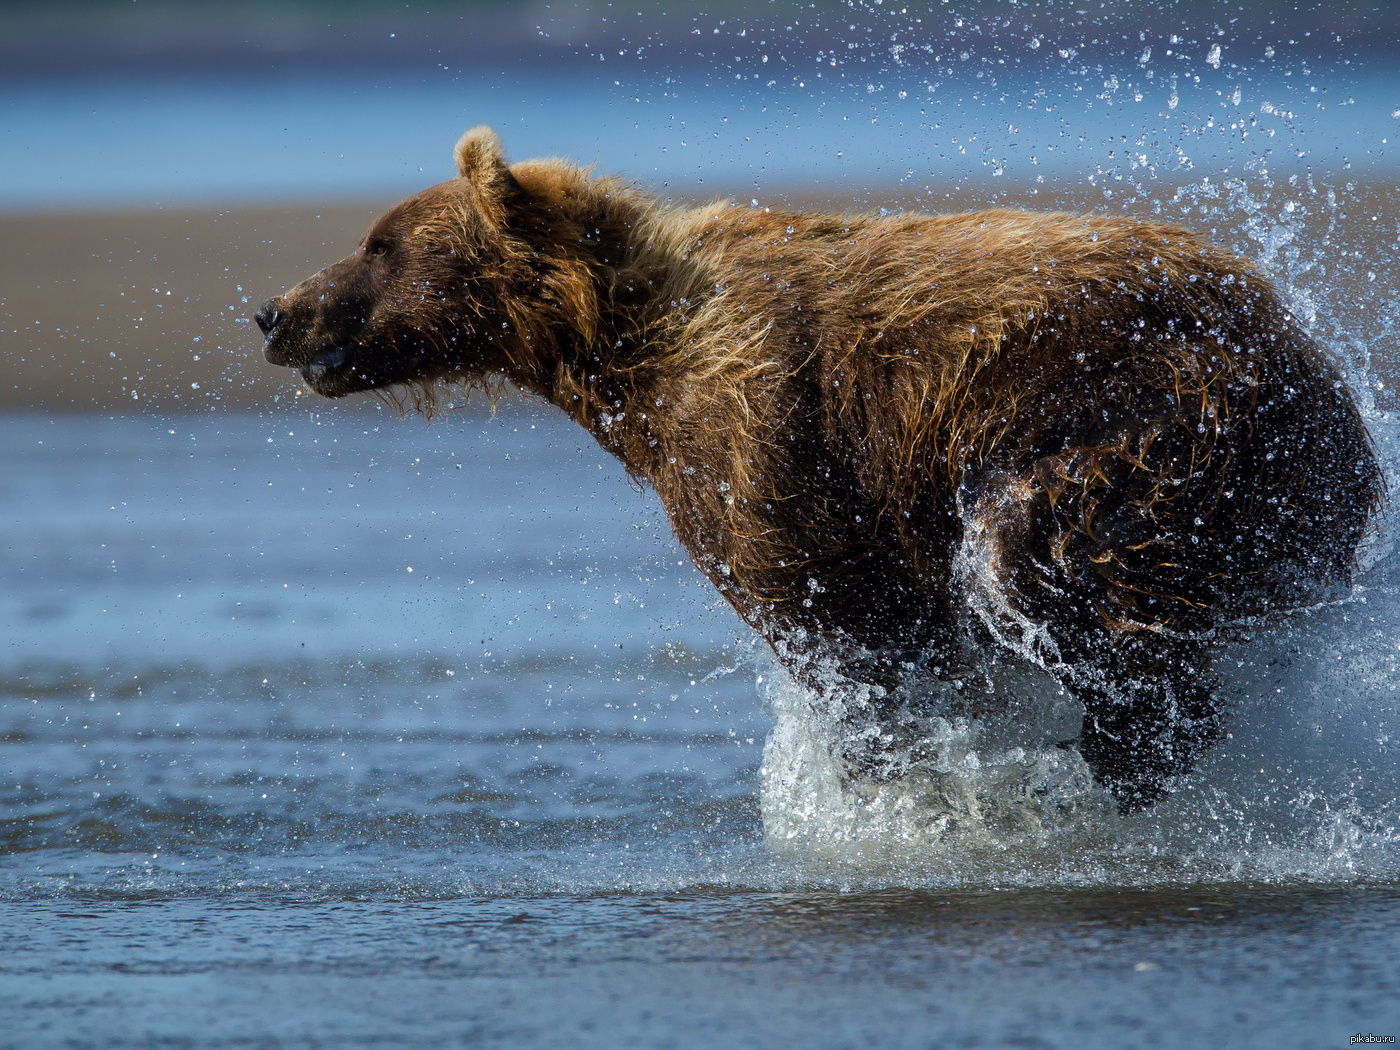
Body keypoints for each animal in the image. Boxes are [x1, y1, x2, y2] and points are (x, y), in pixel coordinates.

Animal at [257, 125, 1383, 812]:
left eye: (381, 243)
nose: (274, 309)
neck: (624, 353)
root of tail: (1311, 359)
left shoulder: (760, 441)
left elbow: (847, 632)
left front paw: (895, 785)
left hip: (1161, 427)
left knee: (1042, 558)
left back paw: (1113, 751)